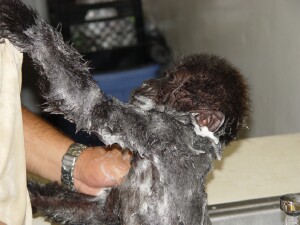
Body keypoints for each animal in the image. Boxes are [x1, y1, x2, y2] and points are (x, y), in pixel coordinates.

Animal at [0, 0, 248, 224]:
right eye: (166, 75)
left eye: (173, 84)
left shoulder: (163, 131)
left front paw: (22, 21)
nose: (148, 82)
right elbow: (100, 212)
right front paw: (30, 195)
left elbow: (91, 105)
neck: (197, 137)